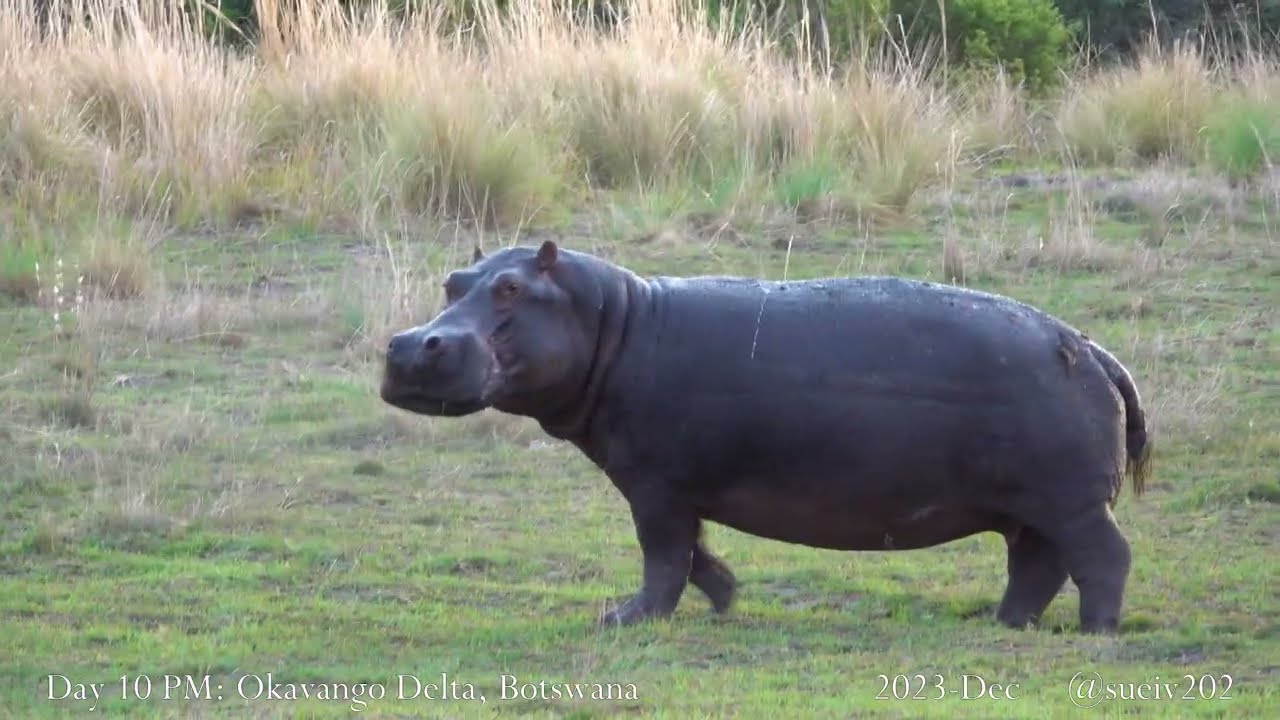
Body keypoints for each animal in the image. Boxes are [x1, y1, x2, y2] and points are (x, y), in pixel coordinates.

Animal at [380, 241, 1152, 634]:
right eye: (454, 280)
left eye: (510, 289)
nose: (410, 344)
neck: (614, 321)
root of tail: (1088, 346)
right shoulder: (670, 486)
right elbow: (693, 552)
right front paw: (725, 597)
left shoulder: (655, 485)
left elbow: (663, 555)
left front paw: (622, 618)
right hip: (1030, 505)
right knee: (1036, 565)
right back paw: (1004, 623)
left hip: (1071, 502)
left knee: (1103, 557)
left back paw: (1097, 631)